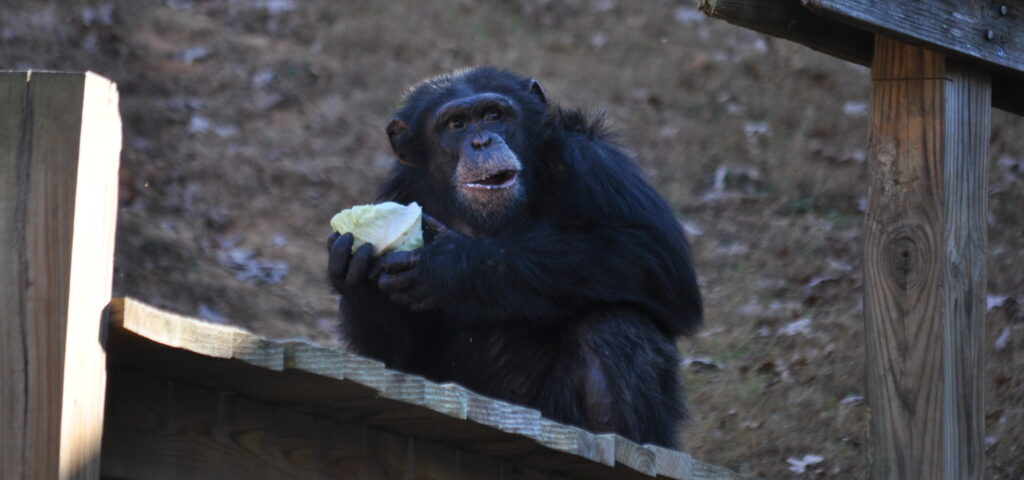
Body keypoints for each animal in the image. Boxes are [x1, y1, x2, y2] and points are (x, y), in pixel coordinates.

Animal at [329, 66, 704, 446]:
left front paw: (448, 265)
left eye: (494, 115)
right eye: (456, 124)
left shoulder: (591, 161)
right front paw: (357, 278)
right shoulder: (399, 193)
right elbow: (397, 358)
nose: (482, 142)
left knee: (612, 327)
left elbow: (653, 252)